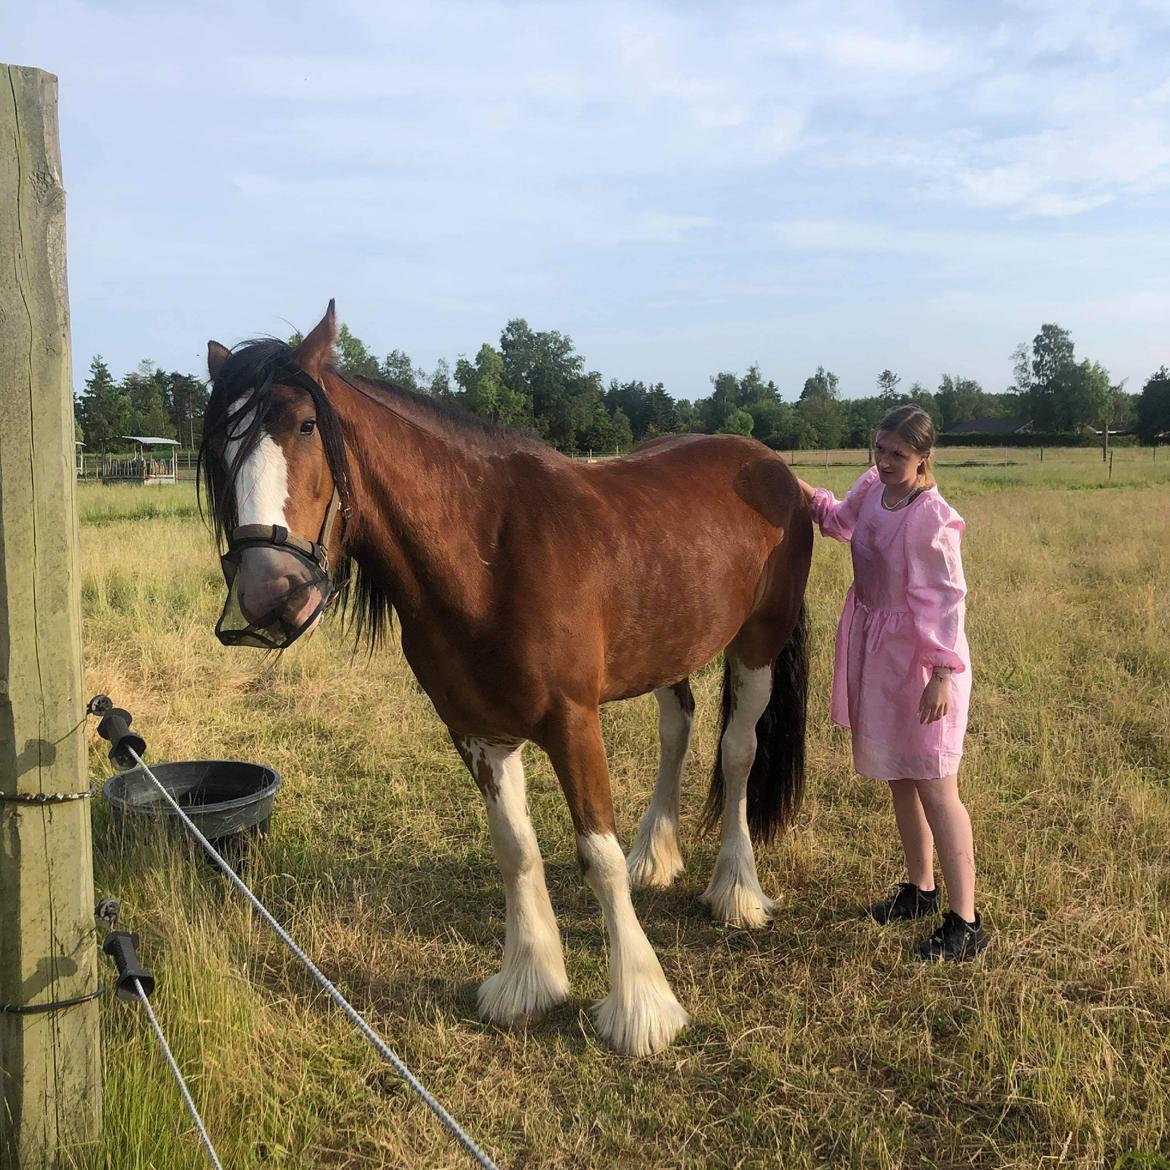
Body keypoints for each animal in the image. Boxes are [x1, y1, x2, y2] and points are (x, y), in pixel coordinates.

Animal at [201, 304, 814, 1062]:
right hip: (670, 646)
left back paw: (735, 890)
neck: (490, 555)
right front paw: (529, 981)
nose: (268, 596)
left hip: (758, 645)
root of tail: (769, 464)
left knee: (737, 753)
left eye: (307, 426)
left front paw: (640, 1007)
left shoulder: (574, 724)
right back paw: (656, 854)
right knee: (678, 728)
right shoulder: (477, 732)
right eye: (217, 450)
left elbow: (597, 857)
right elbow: (516, 851)